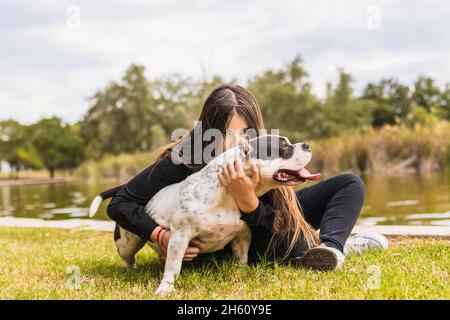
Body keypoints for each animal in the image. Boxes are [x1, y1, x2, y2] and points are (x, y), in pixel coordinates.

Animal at [89, 134, 320, 296]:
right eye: (283, 147)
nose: (308, 145)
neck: (228, 192)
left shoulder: (242, 235)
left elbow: (242, 258)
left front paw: (243, 272)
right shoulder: (180, 237)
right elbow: (173, 265)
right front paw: (166, 288)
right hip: (126, 242)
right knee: (129, 256)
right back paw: (132, 270)